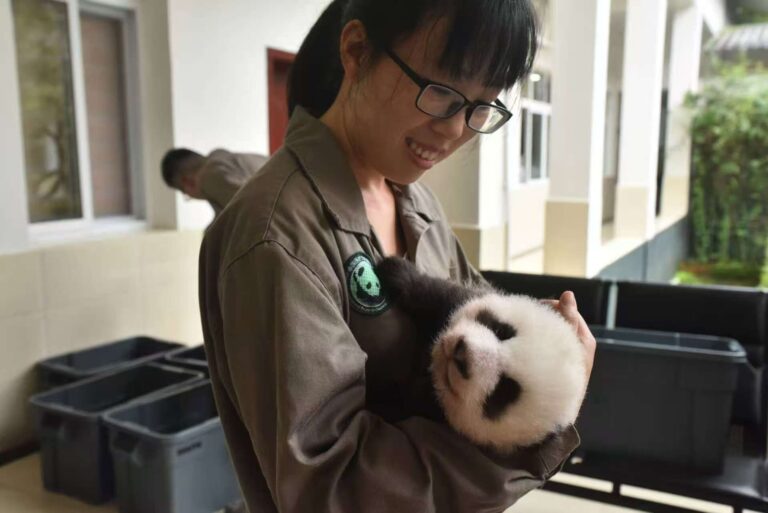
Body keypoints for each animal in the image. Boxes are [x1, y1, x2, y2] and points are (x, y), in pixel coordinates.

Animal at [376, 257, 588, 452]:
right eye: (502, 331)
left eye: (504, 389)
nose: (461, 352)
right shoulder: (466, 298)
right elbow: (438, 293)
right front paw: (395, 269)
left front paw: (388, 396)